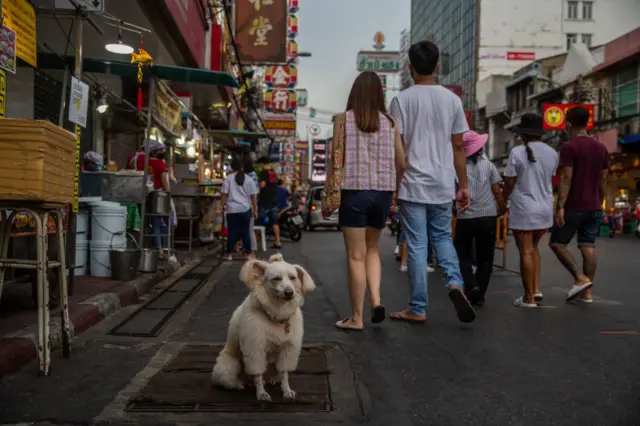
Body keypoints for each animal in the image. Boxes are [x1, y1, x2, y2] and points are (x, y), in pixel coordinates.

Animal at [212, 255, 316, 402]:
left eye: (293, 278)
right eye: (276, 278)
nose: (289, 293)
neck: (276, 314)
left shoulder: (287, 349)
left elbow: (284, 373)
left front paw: (286, 390)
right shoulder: (255, 349)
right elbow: (257, 375)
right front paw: (261, 393)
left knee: (274, 375)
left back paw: (272, 379)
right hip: (230, 366)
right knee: (233, 380)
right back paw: (240, 383)